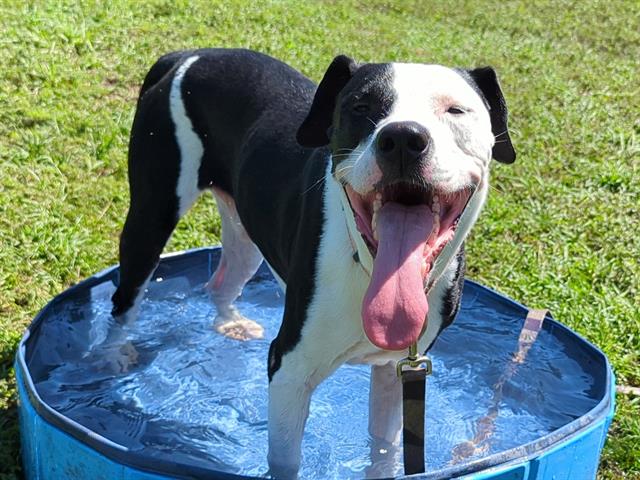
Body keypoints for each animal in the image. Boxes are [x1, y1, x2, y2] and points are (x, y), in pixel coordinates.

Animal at [110, 48, 516, 476]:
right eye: (360, 106)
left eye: (455, 110)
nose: (404, 138)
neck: (367, 268)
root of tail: (190, 54)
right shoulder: (290, 370)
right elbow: (286, 463)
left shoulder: (396, 372)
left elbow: (383, 448)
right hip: (152, 214)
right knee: (126, 297)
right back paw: (114, 354)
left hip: (247, 229)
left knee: (221, 281)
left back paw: (230, 323)